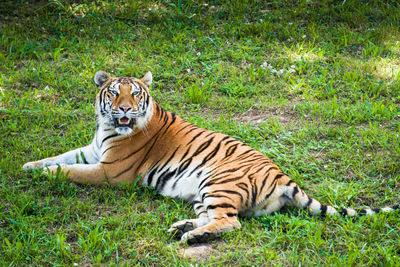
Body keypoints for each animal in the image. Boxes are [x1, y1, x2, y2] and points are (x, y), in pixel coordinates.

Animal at [22, 70, 400, 245]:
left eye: (136, 94)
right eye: (114, 92)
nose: (126, 110)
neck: (107, 127)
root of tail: (282, 175)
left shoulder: (110, 171)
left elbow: (69, 170)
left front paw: (46, 174)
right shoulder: (93, 151)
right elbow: (61, 156)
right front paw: (29, 165)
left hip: (217, 181)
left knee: (230, 223)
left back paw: (191, 237)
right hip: (203, 194)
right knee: (213, 217)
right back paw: (184, 228)